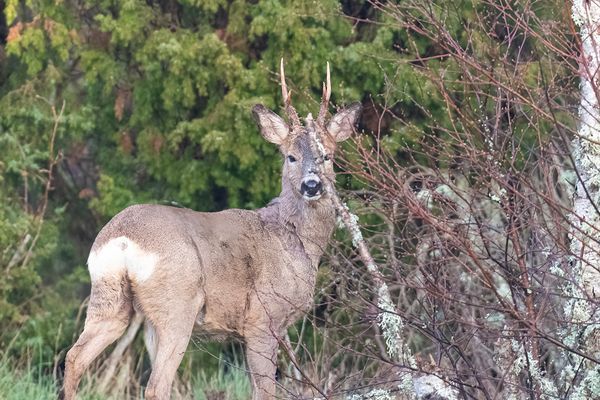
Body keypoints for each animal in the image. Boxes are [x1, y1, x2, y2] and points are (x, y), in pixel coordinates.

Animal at [62, 60, 360, 400]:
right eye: (291, 156)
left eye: (328, 156)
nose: (312, 185)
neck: (293, 241)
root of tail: (122, 240)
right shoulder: (262, 319)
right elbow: (265, 391)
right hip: (177, 305)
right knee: (156, 385)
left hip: (110, 299)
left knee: (74, 358)